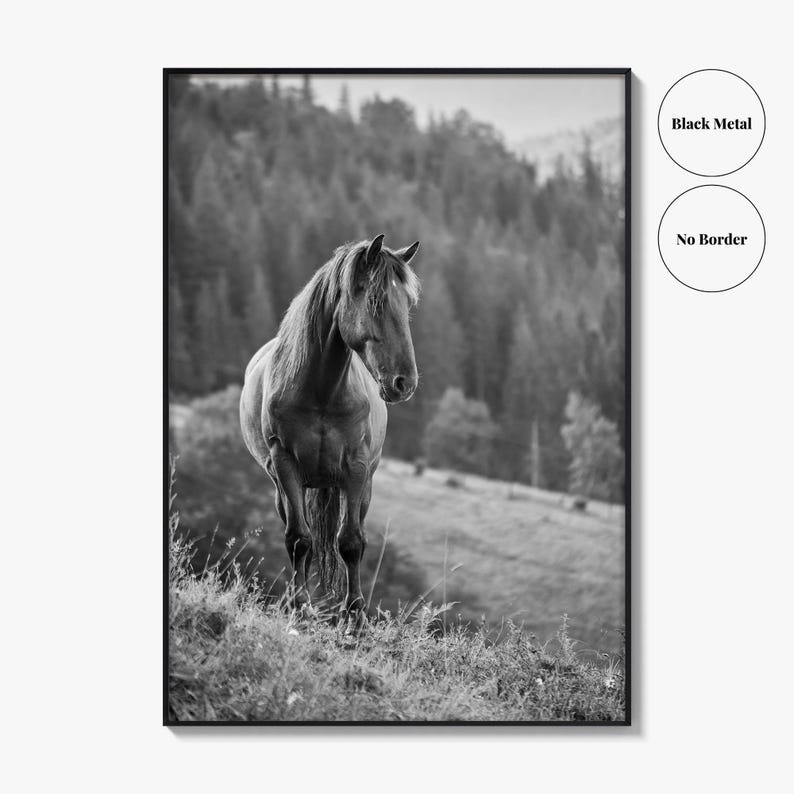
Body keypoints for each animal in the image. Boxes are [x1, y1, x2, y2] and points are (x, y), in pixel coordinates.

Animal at [239, 234, 421, 623]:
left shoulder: (356, 468)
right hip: (285, 487)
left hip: (361, 486)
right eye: (376, 301)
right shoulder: (285, 465)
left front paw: (355, 615)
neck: (321, 391)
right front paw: (299, 605)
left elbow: (351, 542)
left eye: (408, 304)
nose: (404, 383)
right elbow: (299, 538)